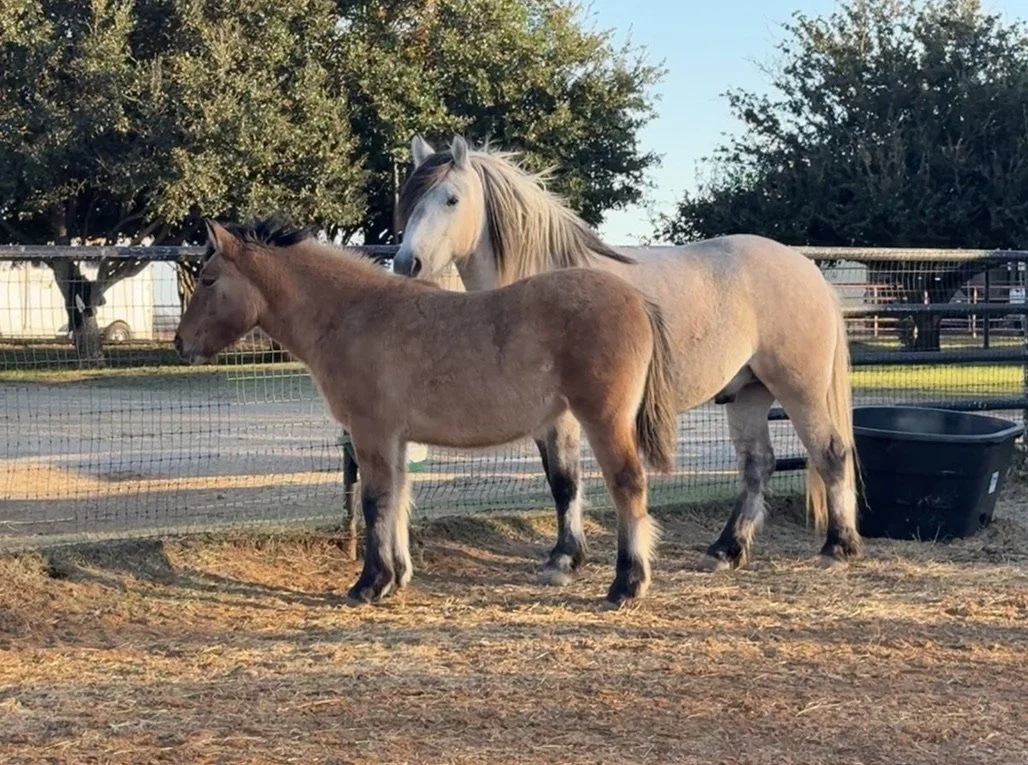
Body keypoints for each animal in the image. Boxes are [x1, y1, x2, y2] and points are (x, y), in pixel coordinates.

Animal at [174, 216, 679, 605]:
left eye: (208, 279)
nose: (181, 344)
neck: (352, 315)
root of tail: (636, 299)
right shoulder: (395, 438)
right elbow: (398, 498)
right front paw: (396, 577)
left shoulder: (372, 432)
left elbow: (376, 500)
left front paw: (369, 584)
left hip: (605, 420)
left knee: (628, 486)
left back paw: (627, 585)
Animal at [392, 135, 863, 584]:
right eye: (410, 200)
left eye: (451, 199)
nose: (405, 263)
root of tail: (810, 271)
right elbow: (560, 481)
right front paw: (568, 557)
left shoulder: (566, 415)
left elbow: (566, 481)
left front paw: (563, 560)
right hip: (748, 393)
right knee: (757, 465)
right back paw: (725, 551)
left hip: (799, 390)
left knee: (831, 452)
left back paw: (836, 548)